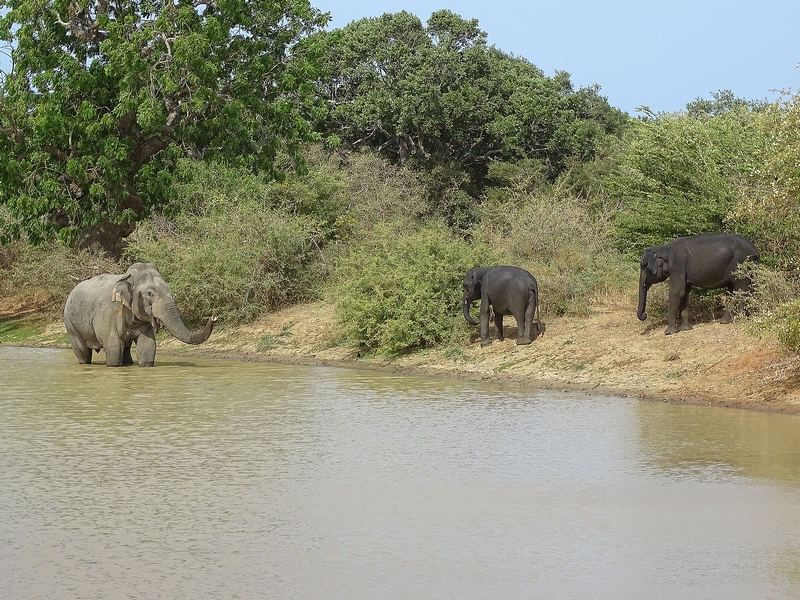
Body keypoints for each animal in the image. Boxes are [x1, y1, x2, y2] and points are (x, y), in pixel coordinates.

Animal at [63, 262, 216, 367]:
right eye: (150, 293)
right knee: (83, 352)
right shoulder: (107, 313)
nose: (213, 316)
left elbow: (147, 345)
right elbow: (113, 348)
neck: (127, 277)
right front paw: (113, 366)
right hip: (70, 324)